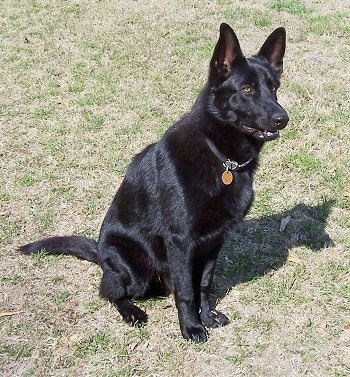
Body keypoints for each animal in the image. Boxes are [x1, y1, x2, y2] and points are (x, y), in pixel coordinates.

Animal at [18, 22, 290, 340]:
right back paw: (131, 311)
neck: (221, 156)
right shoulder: (181, 242)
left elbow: (204, 284)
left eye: (274, 88)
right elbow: (186, 291)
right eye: (247, 89)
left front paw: (206, 316)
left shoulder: (215, 241)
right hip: (134, 268)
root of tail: (100, 253)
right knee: (111, 291)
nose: (283, 118)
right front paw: (191, 327)